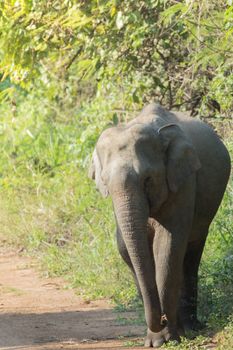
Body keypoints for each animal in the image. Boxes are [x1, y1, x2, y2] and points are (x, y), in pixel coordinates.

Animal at [88, 102, 230, 348]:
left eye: (148, 179)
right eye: (104, 182)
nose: (162, 319)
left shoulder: (183, 182)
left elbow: (167, 245)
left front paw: (166, 339)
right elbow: (125, 247)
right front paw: (155, 340)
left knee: (191, 253)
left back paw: (190, 329)